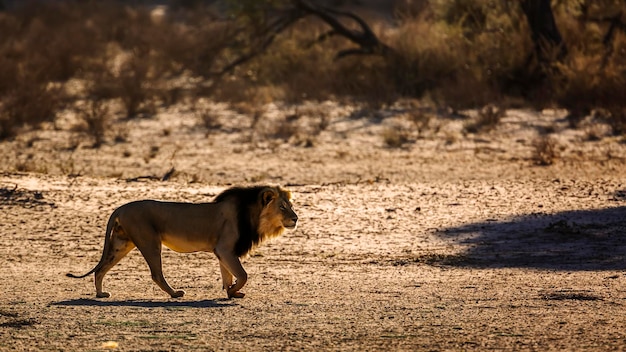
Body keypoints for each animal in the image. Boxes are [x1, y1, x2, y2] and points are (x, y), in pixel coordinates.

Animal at [66, 186, 298, 298]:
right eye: (283, 207)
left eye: (291, 205)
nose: (296, 218)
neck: (255, 216)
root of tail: (120, 208)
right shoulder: (225, 248)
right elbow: (242, 275)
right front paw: (233, 291)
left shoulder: (223, 252)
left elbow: (227, 274)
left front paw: (231, 292)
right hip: (149, 241)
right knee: (156, 274)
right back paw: (175, 293)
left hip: (121, 243)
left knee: (100, 269)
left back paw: (100, 293)